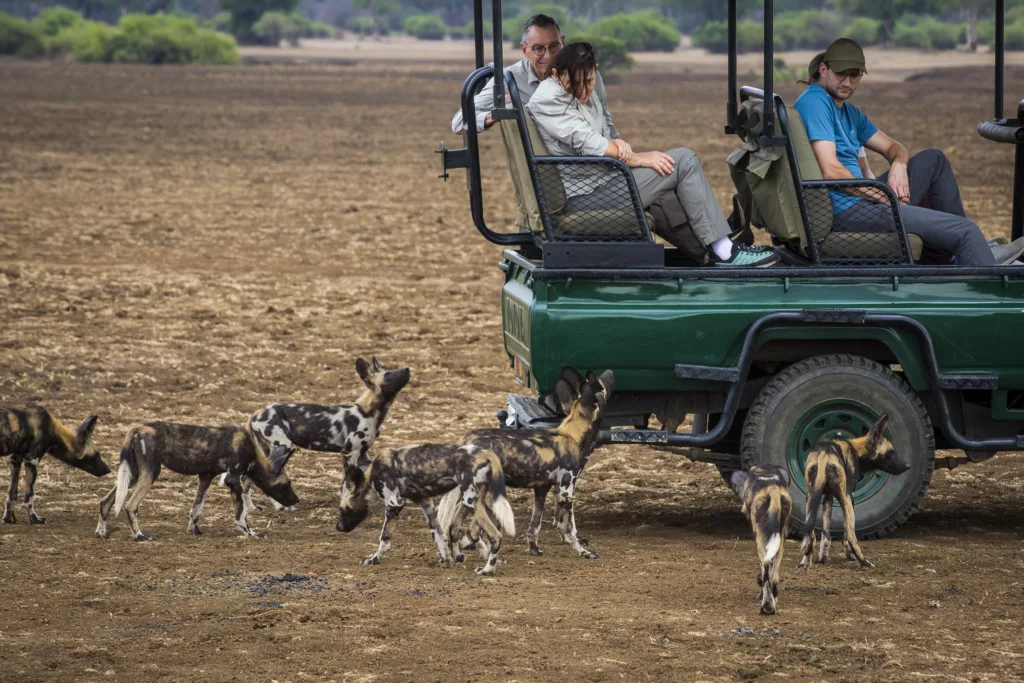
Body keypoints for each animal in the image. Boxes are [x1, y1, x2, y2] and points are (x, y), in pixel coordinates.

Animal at [95, 419, 299, 540]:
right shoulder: (233, 480)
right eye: (286, 485)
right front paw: (251, 533)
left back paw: (101, 532)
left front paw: (194, 530)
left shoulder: (205, 477)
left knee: (106, 501)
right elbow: (241, 514)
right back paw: (138, 535)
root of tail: (136, 428)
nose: (297, 500)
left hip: (133, 474)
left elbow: (196, 509)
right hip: (150, 474)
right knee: (130, 506)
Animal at [239, 356, 411, 509]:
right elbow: (347, 485)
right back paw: (279, 507)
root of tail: (256, 413)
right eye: (388, 375)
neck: (369, 411)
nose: (407, 368)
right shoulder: (350, 454)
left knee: (250, 479)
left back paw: (251, 508)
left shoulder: (362, 455)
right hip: (282, 446)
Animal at [337, 446, 516, 573]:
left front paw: (374, 559)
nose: (338, 527)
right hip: (475, 500)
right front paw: (446, 560)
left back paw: (487, 570)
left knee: (496, 536)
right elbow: (439, 535)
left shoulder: (395, 504)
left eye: (344, 509)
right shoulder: (426, 503)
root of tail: (485, 452)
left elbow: (384, 538)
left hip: (469, 501)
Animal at [733, 466, 794, 618]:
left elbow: (762, 567)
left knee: (766, 569)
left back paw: (766, 607)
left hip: (761, 539)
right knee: (775, 575)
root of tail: (772, 489)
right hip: (780, 541)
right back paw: (773, 599)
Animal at [798, 417, 913, 573]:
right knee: (852, 537)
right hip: (846, 499)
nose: (908, 466)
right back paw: (865, 563)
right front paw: (850, 556)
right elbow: (846, 535)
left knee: (810, 536)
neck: (856, 450)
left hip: (810, 499)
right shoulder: (849, 497)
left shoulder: (827, 497)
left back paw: (805, 562)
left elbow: (825, 536)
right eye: (890, 452)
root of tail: (824, 453)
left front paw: (822, 559)